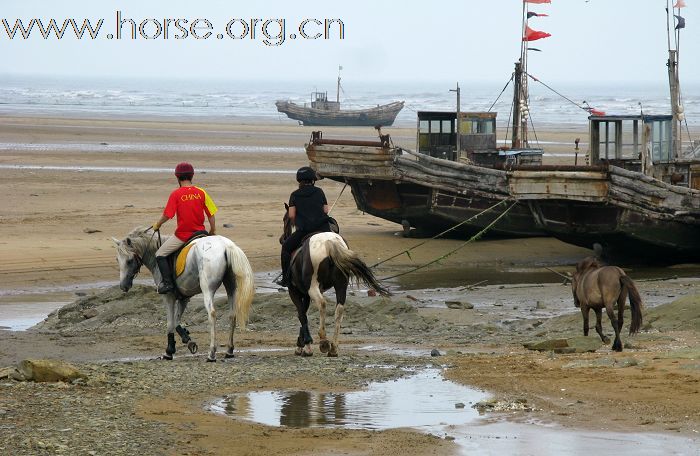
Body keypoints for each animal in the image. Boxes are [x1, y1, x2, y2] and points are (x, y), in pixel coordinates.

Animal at [113, 226, 256, 362]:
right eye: (117, 260)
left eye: (129, 261)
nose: (123, 286)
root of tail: (226, 246)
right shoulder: (184, 298)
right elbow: (177, 321)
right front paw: (187, 339)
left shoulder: (168, 296)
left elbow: (170, 323)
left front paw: (169, 351)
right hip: (231, 287)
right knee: (232, 315)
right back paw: (229, 350)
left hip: (207, 289)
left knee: (212, 315)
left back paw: (211, 353)